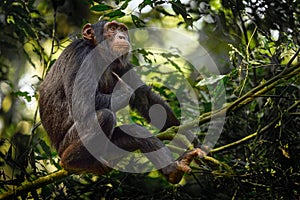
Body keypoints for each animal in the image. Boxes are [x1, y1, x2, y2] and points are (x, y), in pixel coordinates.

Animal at [38, 20, 205, 184]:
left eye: (123, 29)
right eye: (112, 28)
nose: (121, 36)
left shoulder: (122, 65)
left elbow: (146, 99)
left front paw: (187, 136)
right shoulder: (79, 55)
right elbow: (81, 101)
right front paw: (126, 91)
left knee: (135, 132)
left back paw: (173, 170)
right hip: (67, 144)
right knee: (105, 116)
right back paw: (72, 160)